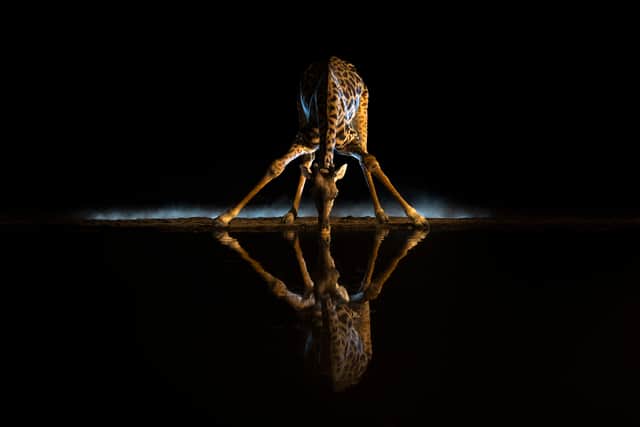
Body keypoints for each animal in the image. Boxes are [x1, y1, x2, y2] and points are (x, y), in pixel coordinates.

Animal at [214, 56, 429, 234]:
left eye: (336, 194)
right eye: (312, 194)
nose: (324, 229)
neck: (327, 107)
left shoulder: (350, 140)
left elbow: (370, 161)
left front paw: (417, 217)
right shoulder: (304, 139)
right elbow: (277, 166)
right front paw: (224, 217)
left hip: (362, 112)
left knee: (364, 159)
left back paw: (381, 214)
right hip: (300, 113)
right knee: (306, 162)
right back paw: (290, 214)